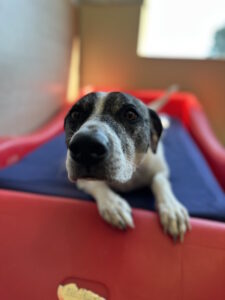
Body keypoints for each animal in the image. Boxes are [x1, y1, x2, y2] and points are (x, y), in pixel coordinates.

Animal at [64, 86, 191, 241]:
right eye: (75, 114)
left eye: (130, 115)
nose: (85, 146)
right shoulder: (81, 179)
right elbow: (96, 184)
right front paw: (113, 204)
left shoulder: (160, 168)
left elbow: (159, 180)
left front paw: (172, 208)